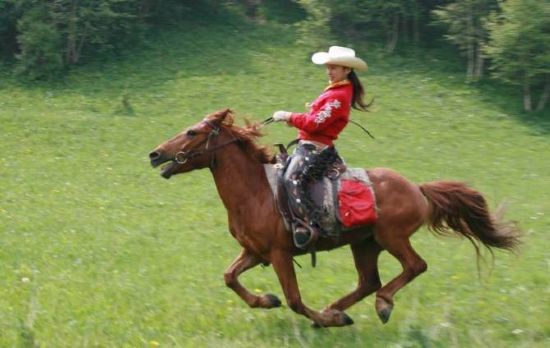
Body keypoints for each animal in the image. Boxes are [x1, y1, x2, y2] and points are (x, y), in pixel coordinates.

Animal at [150, 110, 520, 328]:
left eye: (191, 132)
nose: (154, 154)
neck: (256, 193)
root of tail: (417, 188)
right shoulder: (255, 252)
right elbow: (229, 277)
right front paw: (266, 300)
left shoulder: (280, 254)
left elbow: (295, 301)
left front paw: (324, 319)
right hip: (365, 244)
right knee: (368, 281)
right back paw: (338, 308)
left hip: (392, 238)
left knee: (414, 266)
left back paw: (378, 306)